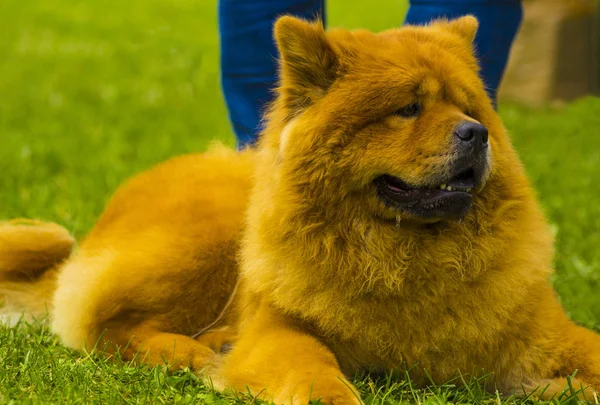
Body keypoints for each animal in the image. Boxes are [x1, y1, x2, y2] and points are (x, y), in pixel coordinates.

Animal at [1, 14, 600, 402]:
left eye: (469, 107)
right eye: (408, 109)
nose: (476, 134)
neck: (410, 257)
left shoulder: (541, 332)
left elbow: (590, 349)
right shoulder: (282, 327)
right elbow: (315, 369)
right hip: (198, 248)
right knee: (108, 328)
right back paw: (195, 353)